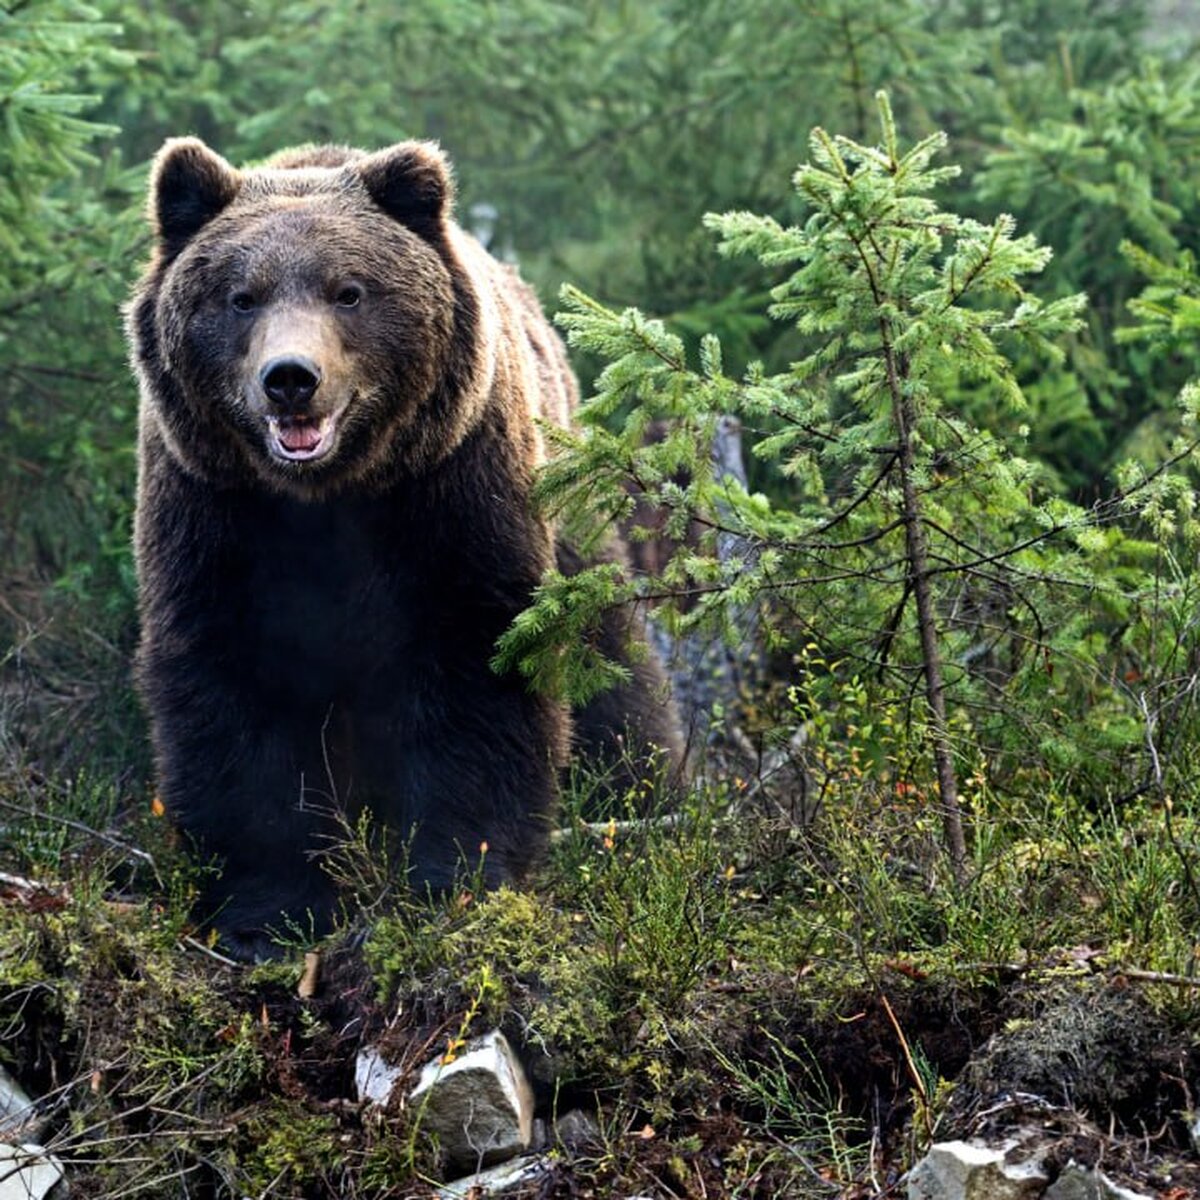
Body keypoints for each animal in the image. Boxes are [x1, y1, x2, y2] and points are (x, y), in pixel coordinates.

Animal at [129, 136, 686, 960]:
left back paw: (647, 791)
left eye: (348, 292)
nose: (290, 378)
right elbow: (234, 694)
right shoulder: (215, 513)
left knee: (612, 663)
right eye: (241, 296)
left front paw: (456, 877)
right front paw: (267, 913)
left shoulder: (450, 493)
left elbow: (479, 663)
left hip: (567, 504)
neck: (327, 494)